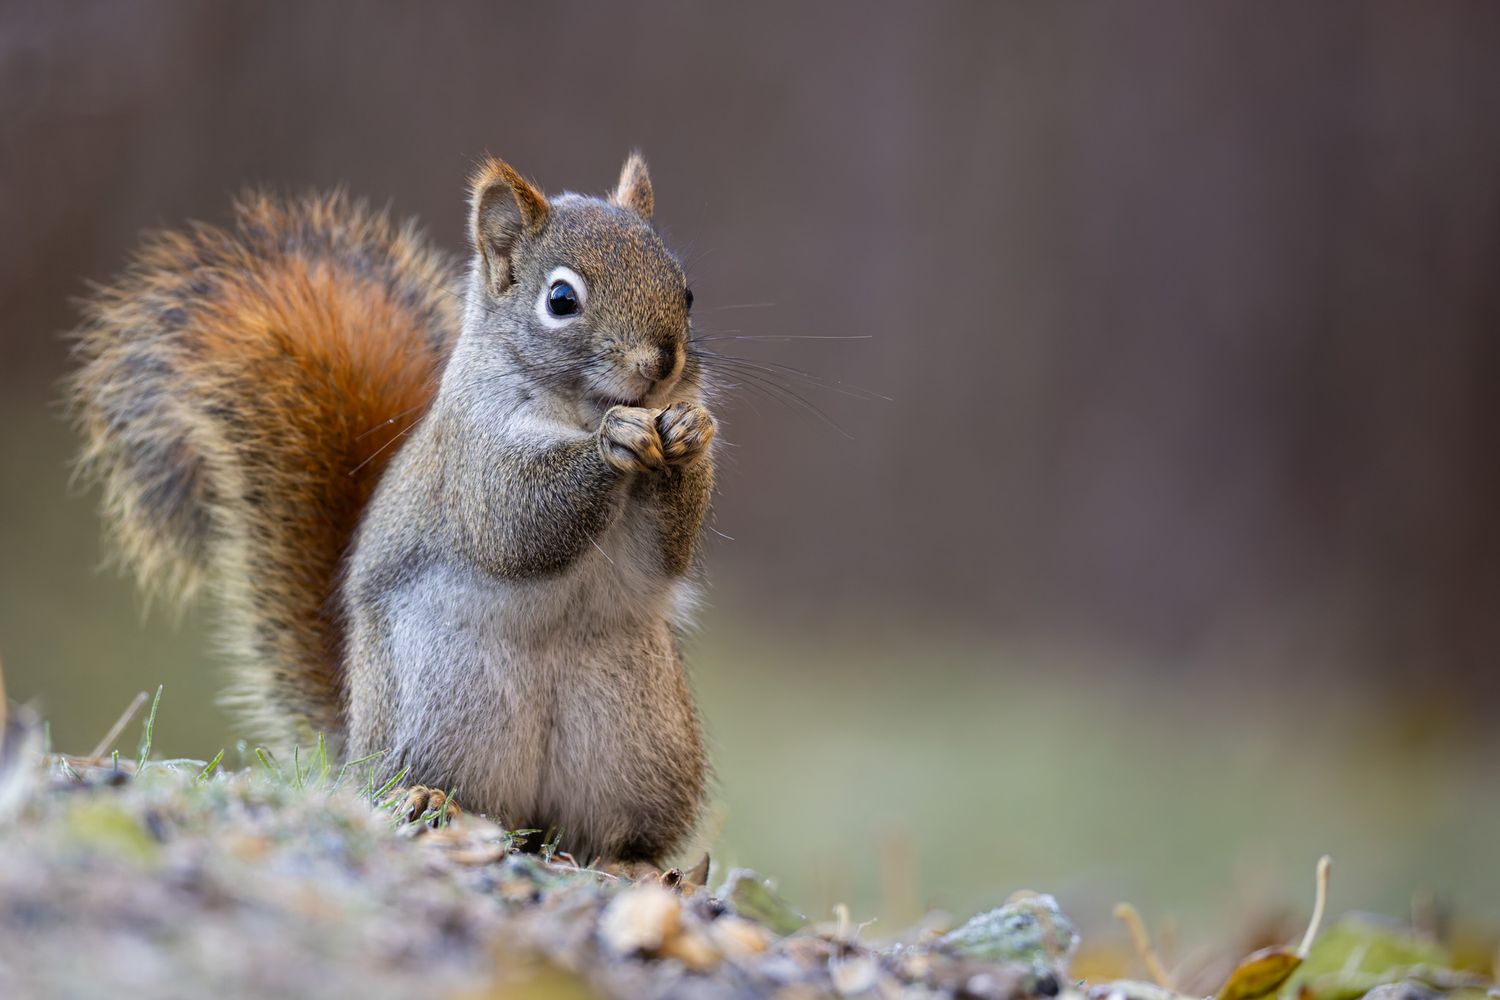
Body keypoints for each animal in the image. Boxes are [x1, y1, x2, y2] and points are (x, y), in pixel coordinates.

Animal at [68, 153, 715, 864]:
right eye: (561, 300)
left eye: (686, 291)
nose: (662, 364)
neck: (578, 407)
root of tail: (356, 747)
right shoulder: (472, 458)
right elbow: (516, 522)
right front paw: (615, 441)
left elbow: (667, 550)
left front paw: (690, 430)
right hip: (452, 706)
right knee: (449, 792)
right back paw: (431, 800)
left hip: (637, 735)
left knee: (602, 830)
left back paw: (630, 862)